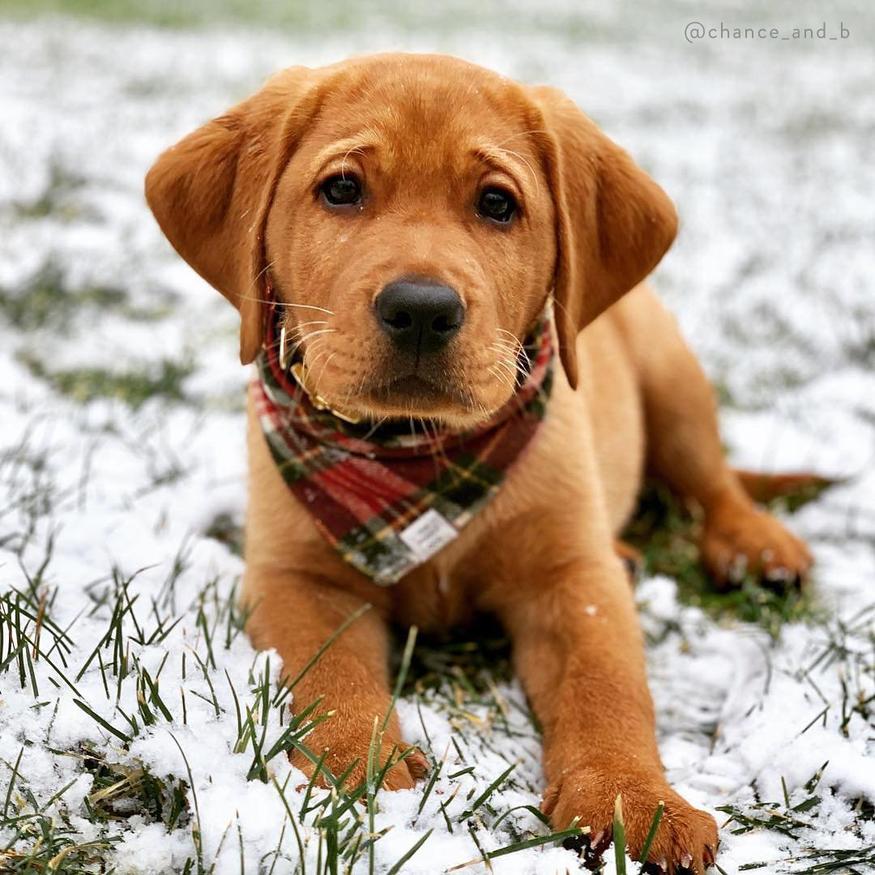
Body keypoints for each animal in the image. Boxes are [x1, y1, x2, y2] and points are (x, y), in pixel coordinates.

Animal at [147, 51, 812, 872]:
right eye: (341, 189)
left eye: (497, 204)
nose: (421, 309)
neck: (420, 451)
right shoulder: (294, 577)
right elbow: (325, 672)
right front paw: (357, 766)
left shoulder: (570, 578)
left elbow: (607, 684)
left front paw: (632, 798)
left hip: (674, 382)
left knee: (713, 483)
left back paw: (756, 546)